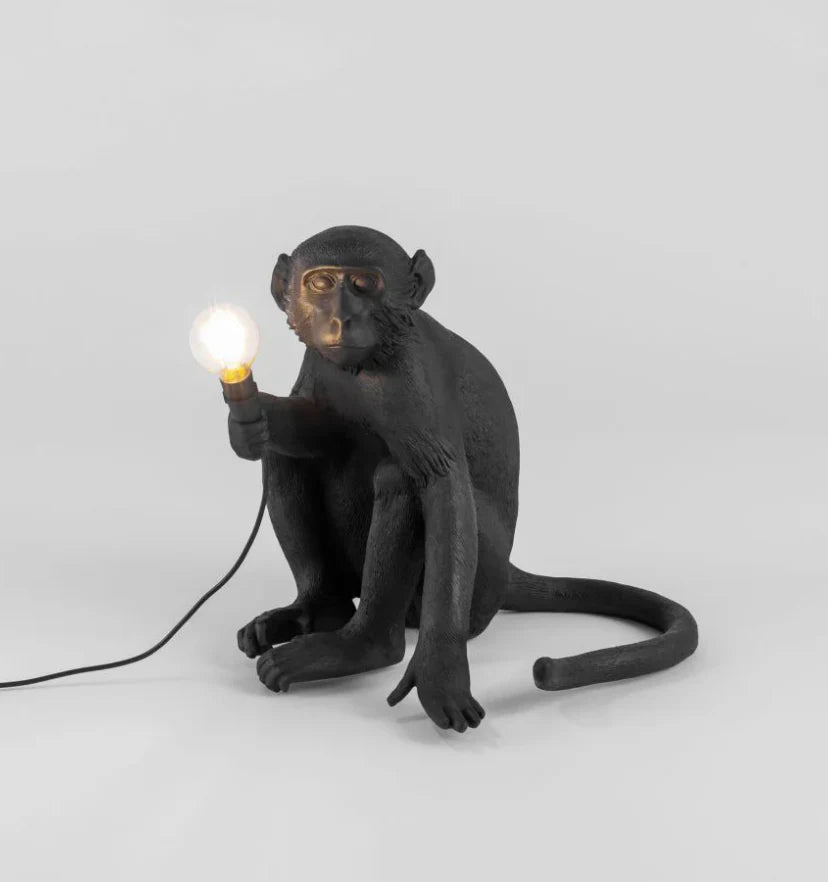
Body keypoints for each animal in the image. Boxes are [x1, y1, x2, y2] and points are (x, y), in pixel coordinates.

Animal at [229, 226, 698, 732]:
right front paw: (254, 419)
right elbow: (316, 430)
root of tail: (508, 571)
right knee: (286, 460)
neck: (371, 358)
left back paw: (364, 646)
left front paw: (440, 670)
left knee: (400, 479)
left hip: (481, 582)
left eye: (363, 284)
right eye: (320, 284)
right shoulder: (319, 363)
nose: (341, 319)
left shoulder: (411, 377)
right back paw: (318, 609)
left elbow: (441, 485)